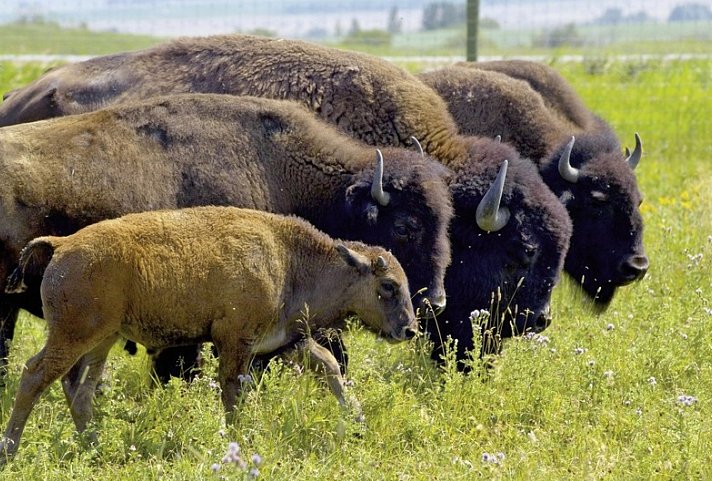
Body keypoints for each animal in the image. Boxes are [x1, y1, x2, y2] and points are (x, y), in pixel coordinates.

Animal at [0, 206, 420, 462]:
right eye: (387, 286)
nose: (409, 329)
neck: (291, 261)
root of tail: (63, 244)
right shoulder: (236, 344)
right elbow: (233, 394)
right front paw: (238, 443)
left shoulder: (288, 342)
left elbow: (329, 367)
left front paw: (359, 425)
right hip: (74, 336)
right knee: (35, 375)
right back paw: (10, 450)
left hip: (101, 340)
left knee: (79, 389)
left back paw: (96, 447)